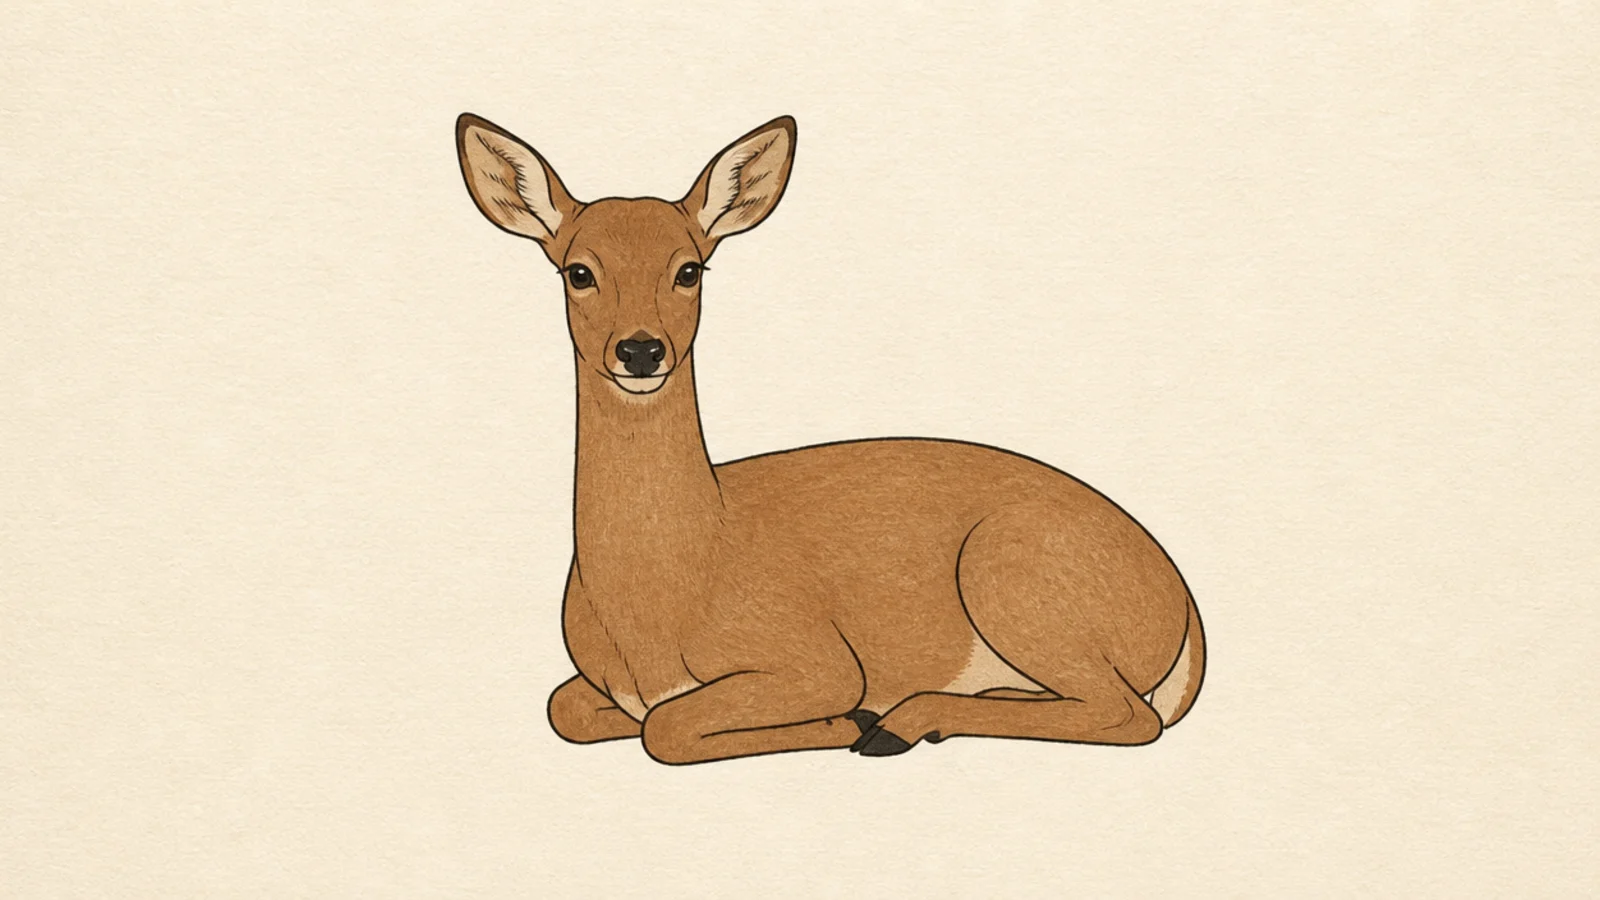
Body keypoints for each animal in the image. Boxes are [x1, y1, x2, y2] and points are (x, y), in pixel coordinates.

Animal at [455, 112, 1206, 765]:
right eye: (577, 270)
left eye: (690, 268)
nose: (641, 350)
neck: (672, 587)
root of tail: (1182, 604)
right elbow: (567, 709)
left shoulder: (818, 662)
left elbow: (664, 727)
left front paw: (849, 721)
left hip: (1011, 576)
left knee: (1130, 714)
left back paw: (898, 723)